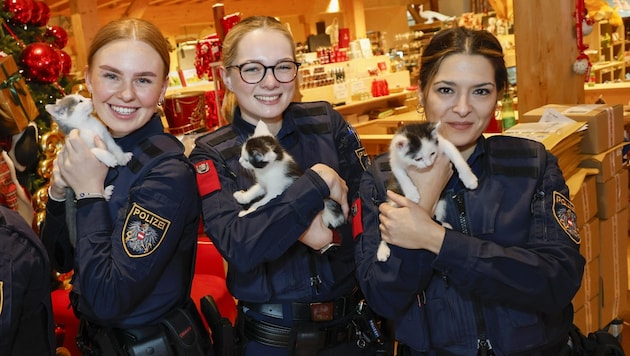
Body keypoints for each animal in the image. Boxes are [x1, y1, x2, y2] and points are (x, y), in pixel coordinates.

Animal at [376, 122, 478, 262]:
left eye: (432, 153)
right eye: (418, 159)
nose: (429, 164)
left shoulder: (444, 144)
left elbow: (457, 157)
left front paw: (469, 178)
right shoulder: (395, 161)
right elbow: (401, 175)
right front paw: (412, 194)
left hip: (441, 203)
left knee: (437, 216)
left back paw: (444, 224)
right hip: (392, 204)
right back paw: (382, 250)